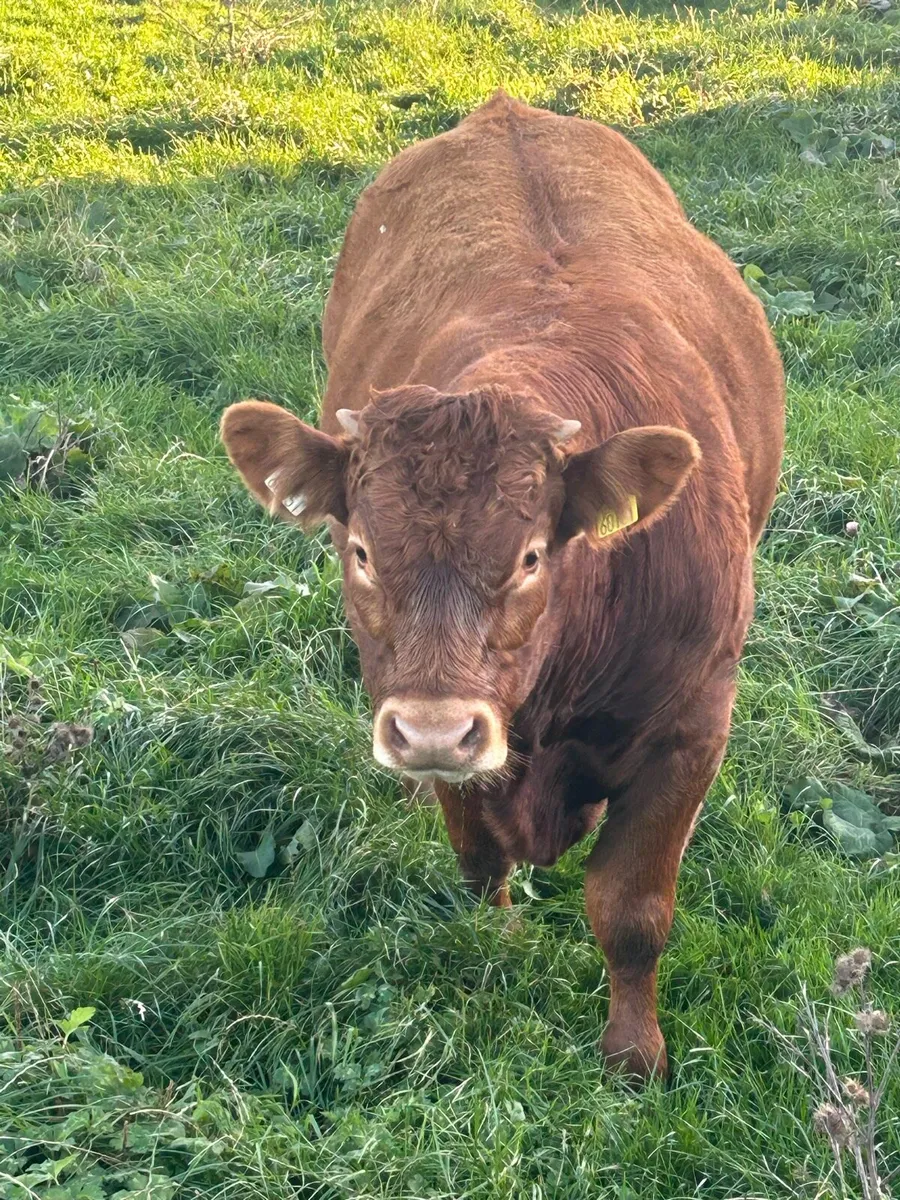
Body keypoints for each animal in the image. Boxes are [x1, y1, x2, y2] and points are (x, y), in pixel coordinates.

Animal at [221, 91, 784, 1080]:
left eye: (529, 557)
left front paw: (634, 1056)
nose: (433, 731)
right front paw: (504, 948)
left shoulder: (692, 728)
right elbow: (480, 860)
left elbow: (632, 910)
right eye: (359, 550)